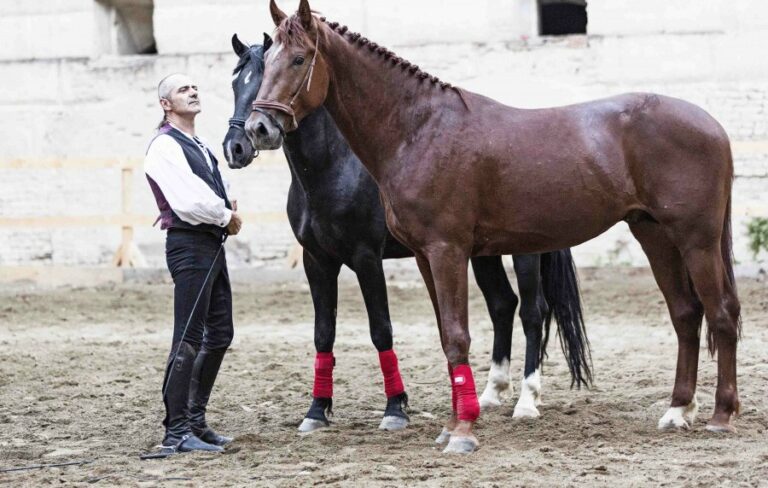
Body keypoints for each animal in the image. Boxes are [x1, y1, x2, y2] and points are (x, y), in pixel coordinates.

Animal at [246, 1, 736, 456]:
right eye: (265, 62)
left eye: (298, 59)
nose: (257, 128)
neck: (418, 130)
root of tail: (712, 125)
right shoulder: (423, 257)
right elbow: (447, 337)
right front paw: (452, 425)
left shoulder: (445, 251)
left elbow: (458, 336)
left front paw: (463, 432)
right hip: (653, 235)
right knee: (686, 315)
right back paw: (678, 410)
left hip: (696, 240)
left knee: (721, 315)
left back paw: (720, 416)